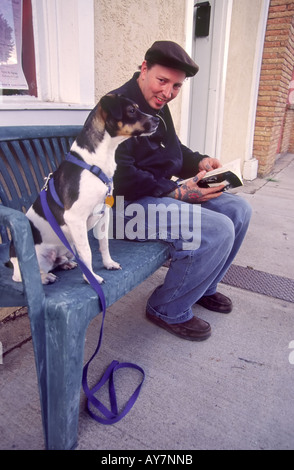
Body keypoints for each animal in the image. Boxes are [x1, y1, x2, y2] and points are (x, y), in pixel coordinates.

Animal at [10, 92, 158, 282]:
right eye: (132, 110)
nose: (157, 120)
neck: (94, 162)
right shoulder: (75, 218)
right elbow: (87, 252)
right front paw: (91, 278)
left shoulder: (103, 213)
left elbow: (104, 243)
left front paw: (108, 263)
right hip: (37, 259)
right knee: (23, 276)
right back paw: (44, 277)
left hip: (68, 247)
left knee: (59, 261)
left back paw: (65, 264)